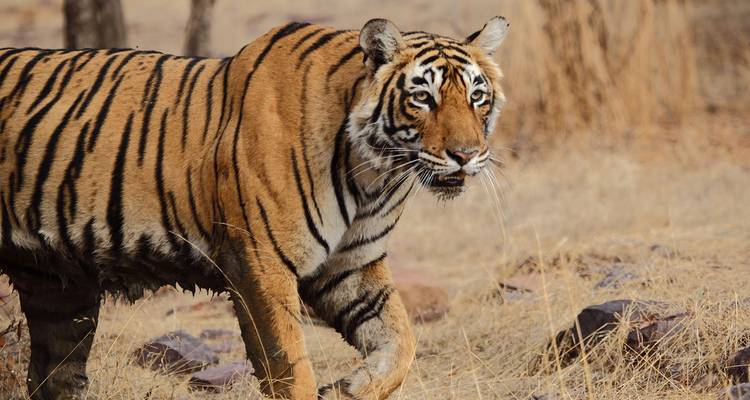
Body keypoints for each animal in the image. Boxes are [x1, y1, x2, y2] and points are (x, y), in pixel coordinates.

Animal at [0, 16, 509, 399]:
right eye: (422, 97)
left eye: (477, 97)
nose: (466, 155)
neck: (373, 174)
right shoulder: (261, 261)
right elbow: (289, 364)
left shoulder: (351, 264)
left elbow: (402, 341)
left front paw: (350, 388)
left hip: (59, 291)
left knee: (54, 374)